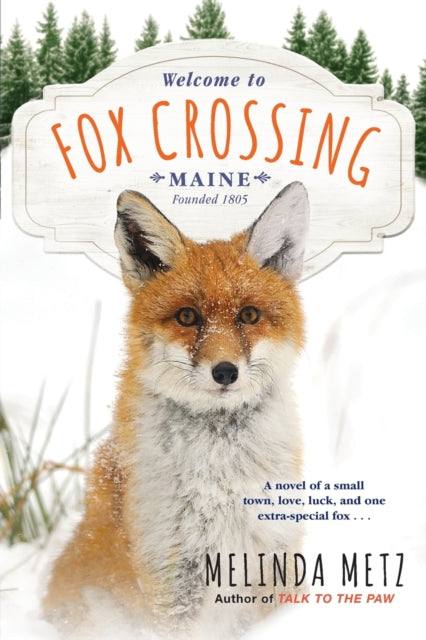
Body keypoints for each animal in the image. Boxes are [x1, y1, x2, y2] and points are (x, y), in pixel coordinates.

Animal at [43, 181, 310, 639]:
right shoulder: (171, 574)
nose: (225, 372)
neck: (223, 485)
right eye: (188, 316)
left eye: (249, 314)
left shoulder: (271, 556)